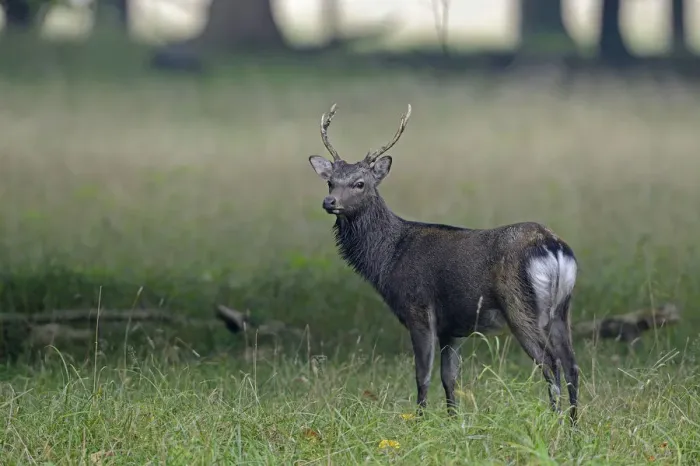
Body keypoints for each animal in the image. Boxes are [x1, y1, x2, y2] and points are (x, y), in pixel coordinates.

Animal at [307, 103, 580, 424]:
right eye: (330, 181)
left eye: (359, 183)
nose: (329, 202)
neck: (389, 258)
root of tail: (552, 244)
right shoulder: (453, 327)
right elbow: (450, 378)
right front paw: (453, 421)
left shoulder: (419, 310)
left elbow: (422, 375)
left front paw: (420, 421)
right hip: (562, 310)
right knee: (572, 364)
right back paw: (574, 425)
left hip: (521, 306)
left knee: (551, 364)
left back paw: (556, 421)